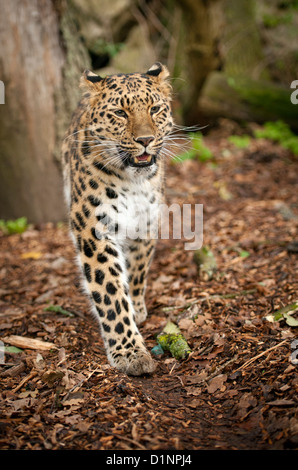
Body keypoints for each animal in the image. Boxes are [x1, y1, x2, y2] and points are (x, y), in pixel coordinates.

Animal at [62, 64, 173, 376]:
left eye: (155, 109)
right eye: (120, 113)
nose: (145, 140)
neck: (132, 181)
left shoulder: (146, 222)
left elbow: (137, 270)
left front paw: (136, 307)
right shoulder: (94, 230)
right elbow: (110, 290)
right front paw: (130, 352)